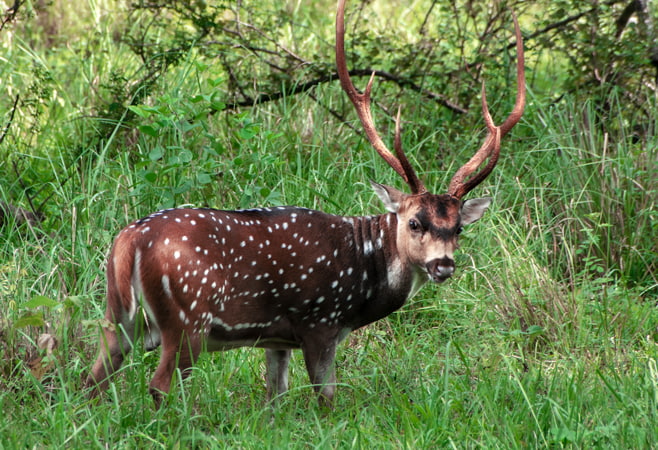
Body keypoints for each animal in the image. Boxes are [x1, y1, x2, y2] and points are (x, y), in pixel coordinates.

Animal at [85, 0, 525, 408]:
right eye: (415, 221)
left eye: (459, 227)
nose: (443, 265)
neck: (363, 274)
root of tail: (129, 242)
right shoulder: (320, 322)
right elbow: (326, 396)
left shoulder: (276, 339)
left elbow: (274, 395)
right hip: (188, 316)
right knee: (158, 384)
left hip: (118, 314)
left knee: (93, 378)